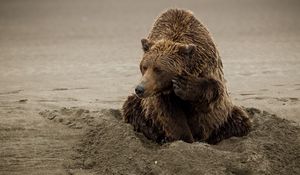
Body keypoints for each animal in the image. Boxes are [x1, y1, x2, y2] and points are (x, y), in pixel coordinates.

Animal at [122, 8, 251, 144]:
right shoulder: (162, 95)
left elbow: (213, 93)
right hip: (141, 108)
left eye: (159, 69)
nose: (140, 88)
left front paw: (185, 85)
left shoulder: (207, 64)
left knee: (239, 121)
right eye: (144, 67)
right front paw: (185, 138)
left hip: (225, 116)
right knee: (131, 107)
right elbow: (170, 115)